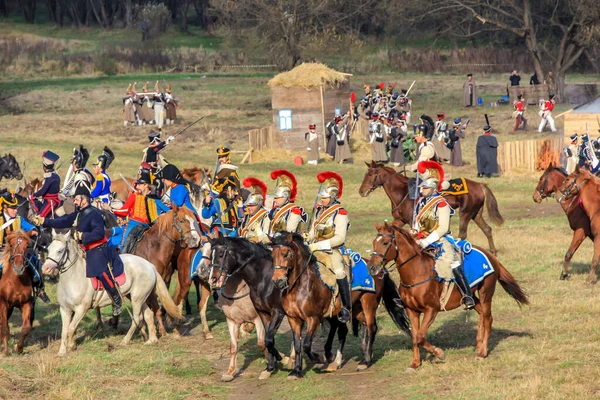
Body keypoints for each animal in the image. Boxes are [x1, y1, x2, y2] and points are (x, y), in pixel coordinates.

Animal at [43, 231, 183, 356]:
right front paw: (62, 352)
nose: (45, 269)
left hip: (137, 299)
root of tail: (149, 264)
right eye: (48, 249)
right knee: (148, 314)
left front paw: (71, 346)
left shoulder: (81, 309)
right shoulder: (65, 309)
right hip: (139, 297)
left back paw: (125, 340)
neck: (73, 276)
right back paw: (152, 340)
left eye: (60, 250)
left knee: (137, 318)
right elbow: (65, 330)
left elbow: (71, 328)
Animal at [210, 236, 288, 380]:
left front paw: (280, 360)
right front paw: (230, 372)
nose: (213, 279)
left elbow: (262, 343)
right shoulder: (232, 321)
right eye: (209, 254)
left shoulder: (260, 318)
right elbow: (233, 346)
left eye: (221, 254)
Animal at [270, 231, 410, 376]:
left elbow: (307, 344)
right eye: (272, 255)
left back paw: (365, 361)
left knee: (372, 328)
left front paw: (318, 358)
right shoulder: (293, 319)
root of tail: (379, 269)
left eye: (286, 254)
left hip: (368, 304)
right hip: (355, 309)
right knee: (358, 327)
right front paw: (296, 371)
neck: (301, 286)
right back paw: (360, 354)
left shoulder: (313, 318)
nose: (277, 281)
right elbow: (298, 345)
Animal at [358, 162, 504, 253]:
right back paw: (493, 252)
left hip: (465, 214)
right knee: (487, 229)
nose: (361, 191)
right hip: (475, 214)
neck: (403, 193)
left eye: (371, 175)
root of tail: (479, 185)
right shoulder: (400, 220)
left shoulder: (413, 222)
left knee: (462, 234)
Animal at [368, 220, 528, 370]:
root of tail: (490, 255)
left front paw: (439, 353)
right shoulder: (411, 310)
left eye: (385, 242)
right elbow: (414, 337)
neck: (417, 272)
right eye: (374, 243)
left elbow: (420, 336)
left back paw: (482, 352)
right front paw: (415, 363)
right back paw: (478, 343)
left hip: (486, 293)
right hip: (472, 297)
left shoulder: (431, 310)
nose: (372, 268)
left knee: (488, 318)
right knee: (482, 314)